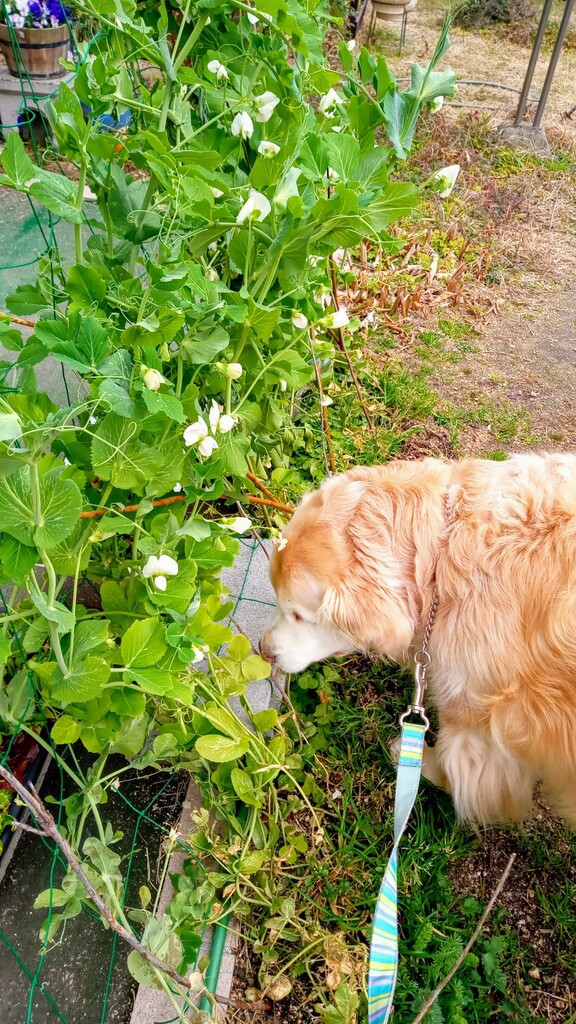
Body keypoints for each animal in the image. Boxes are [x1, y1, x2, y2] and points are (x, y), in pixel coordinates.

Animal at [259, 460, 573, 827]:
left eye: (299, 614)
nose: (263, 651)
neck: (442, 553)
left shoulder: (474, 719)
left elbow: (453, 764)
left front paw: (418, 760)